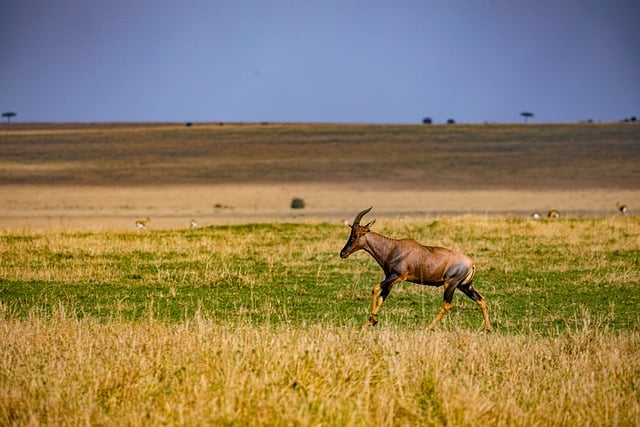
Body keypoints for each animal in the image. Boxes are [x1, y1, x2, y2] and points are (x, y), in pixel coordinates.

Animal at [342, 209, 492, 332]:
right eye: (351, 233)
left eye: (357, 235)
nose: (343, 253)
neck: (393, 248)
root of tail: (471, 263)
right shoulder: (390, 280)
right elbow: (380, 298)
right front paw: (367, 323)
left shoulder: (398, 276)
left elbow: (375, 288)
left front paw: (373, 319)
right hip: (465, 285)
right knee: (480, 299)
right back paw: (488, 328)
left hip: (451, 284)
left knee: (447, 305)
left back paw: (427, 327)